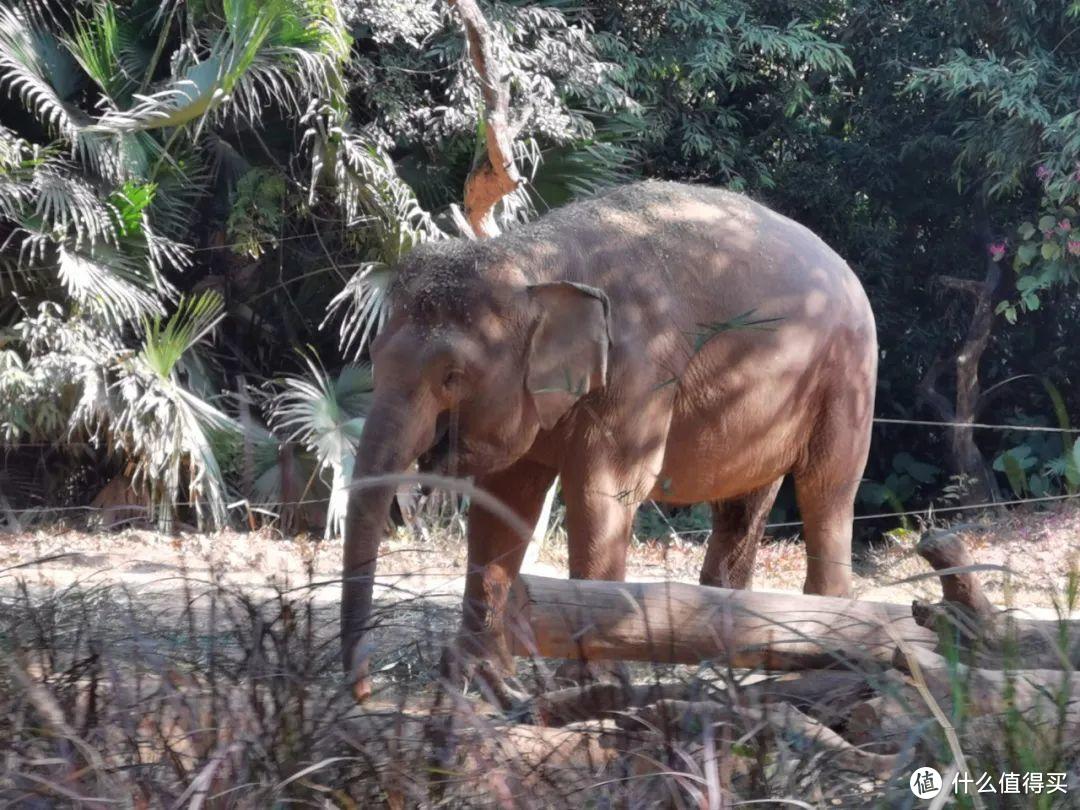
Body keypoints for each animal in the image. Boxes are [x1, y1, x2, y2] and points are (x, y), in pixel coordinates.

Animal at [345, 180, 876, 699]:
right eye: (374, 355)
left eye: (452, 376)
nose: (364, 692)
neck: (536, 259)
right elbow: (504, 505)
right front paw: (484, 682)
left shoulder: (639, 371)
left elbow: (601, 494)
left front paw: (586, 685)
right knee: (744, 504)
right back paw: (723, 664)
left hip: (849, 376)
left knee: (826, 491)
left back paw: (827, 654)